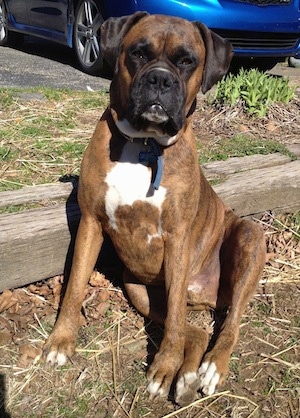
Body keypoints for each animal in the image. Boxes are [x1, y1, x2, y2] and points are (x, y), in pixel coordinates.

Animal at [44, 12, 264, 404]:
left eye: (187, 61)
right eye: (139, 53)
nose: (160, 78)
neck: (144, 144)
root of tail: (203, 295)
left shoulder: (177, 239)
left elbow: (175, 319)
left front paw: (164, 366)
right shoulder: (90, 223)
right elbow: (75, 285)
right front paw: (61, 339)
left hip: (251, 235)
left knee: (227, 322)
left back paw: (209, 368)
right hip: (137, 289)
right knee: (196, 329)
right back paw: (188, 374)